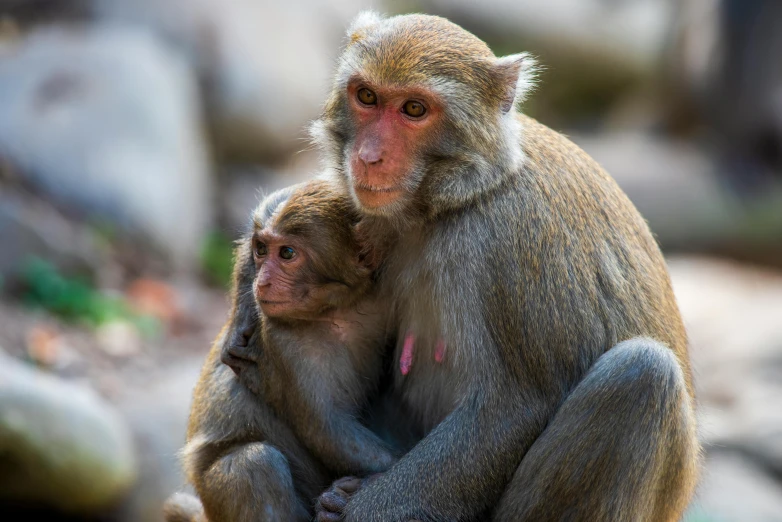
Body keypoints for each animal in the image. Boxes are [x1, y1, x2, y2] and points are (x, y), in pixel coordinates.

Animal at [166, 180, 398, 520]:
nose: (261, 283)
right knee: (256, 465)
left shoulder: (384, 297)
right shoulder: (281, 340)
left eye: (287, 253)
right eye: (261, 250)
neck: (337, 311)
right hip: (215, 498)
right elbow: (326, 429)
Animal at [310, 10, 700, 516]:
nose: (368, 156)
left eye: (414, 109)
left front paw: (359, 510)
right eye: (367, 97)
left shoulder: (502, 240)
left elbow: (513, 408)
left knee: (643, 376)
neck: (462, 194)